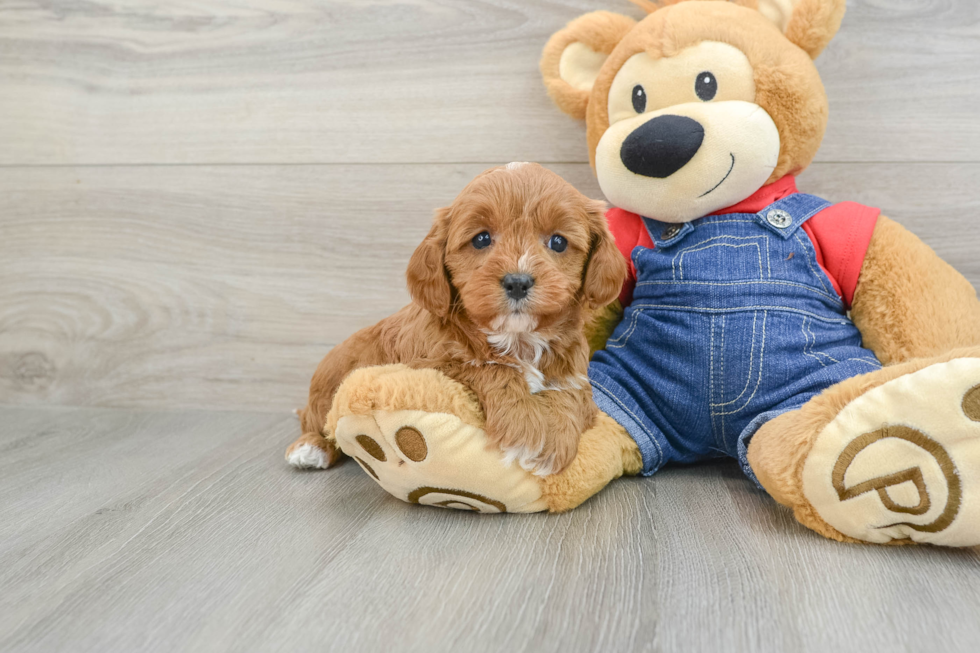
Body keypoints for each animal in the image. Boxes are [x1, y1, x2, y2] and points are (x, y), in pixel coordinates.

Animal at [290, 162, 628, 474]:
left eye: (558, 242)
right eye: (481, 239)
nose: (518, 282)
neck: (517, 337)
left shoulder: (575, 373)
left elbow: (569, 393)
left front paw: (555, 437)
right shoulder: (429, 364)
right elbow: (489, 368)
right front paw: (526, 429)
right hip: (326, 391)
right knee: (317, 422)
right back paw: (310, 448)